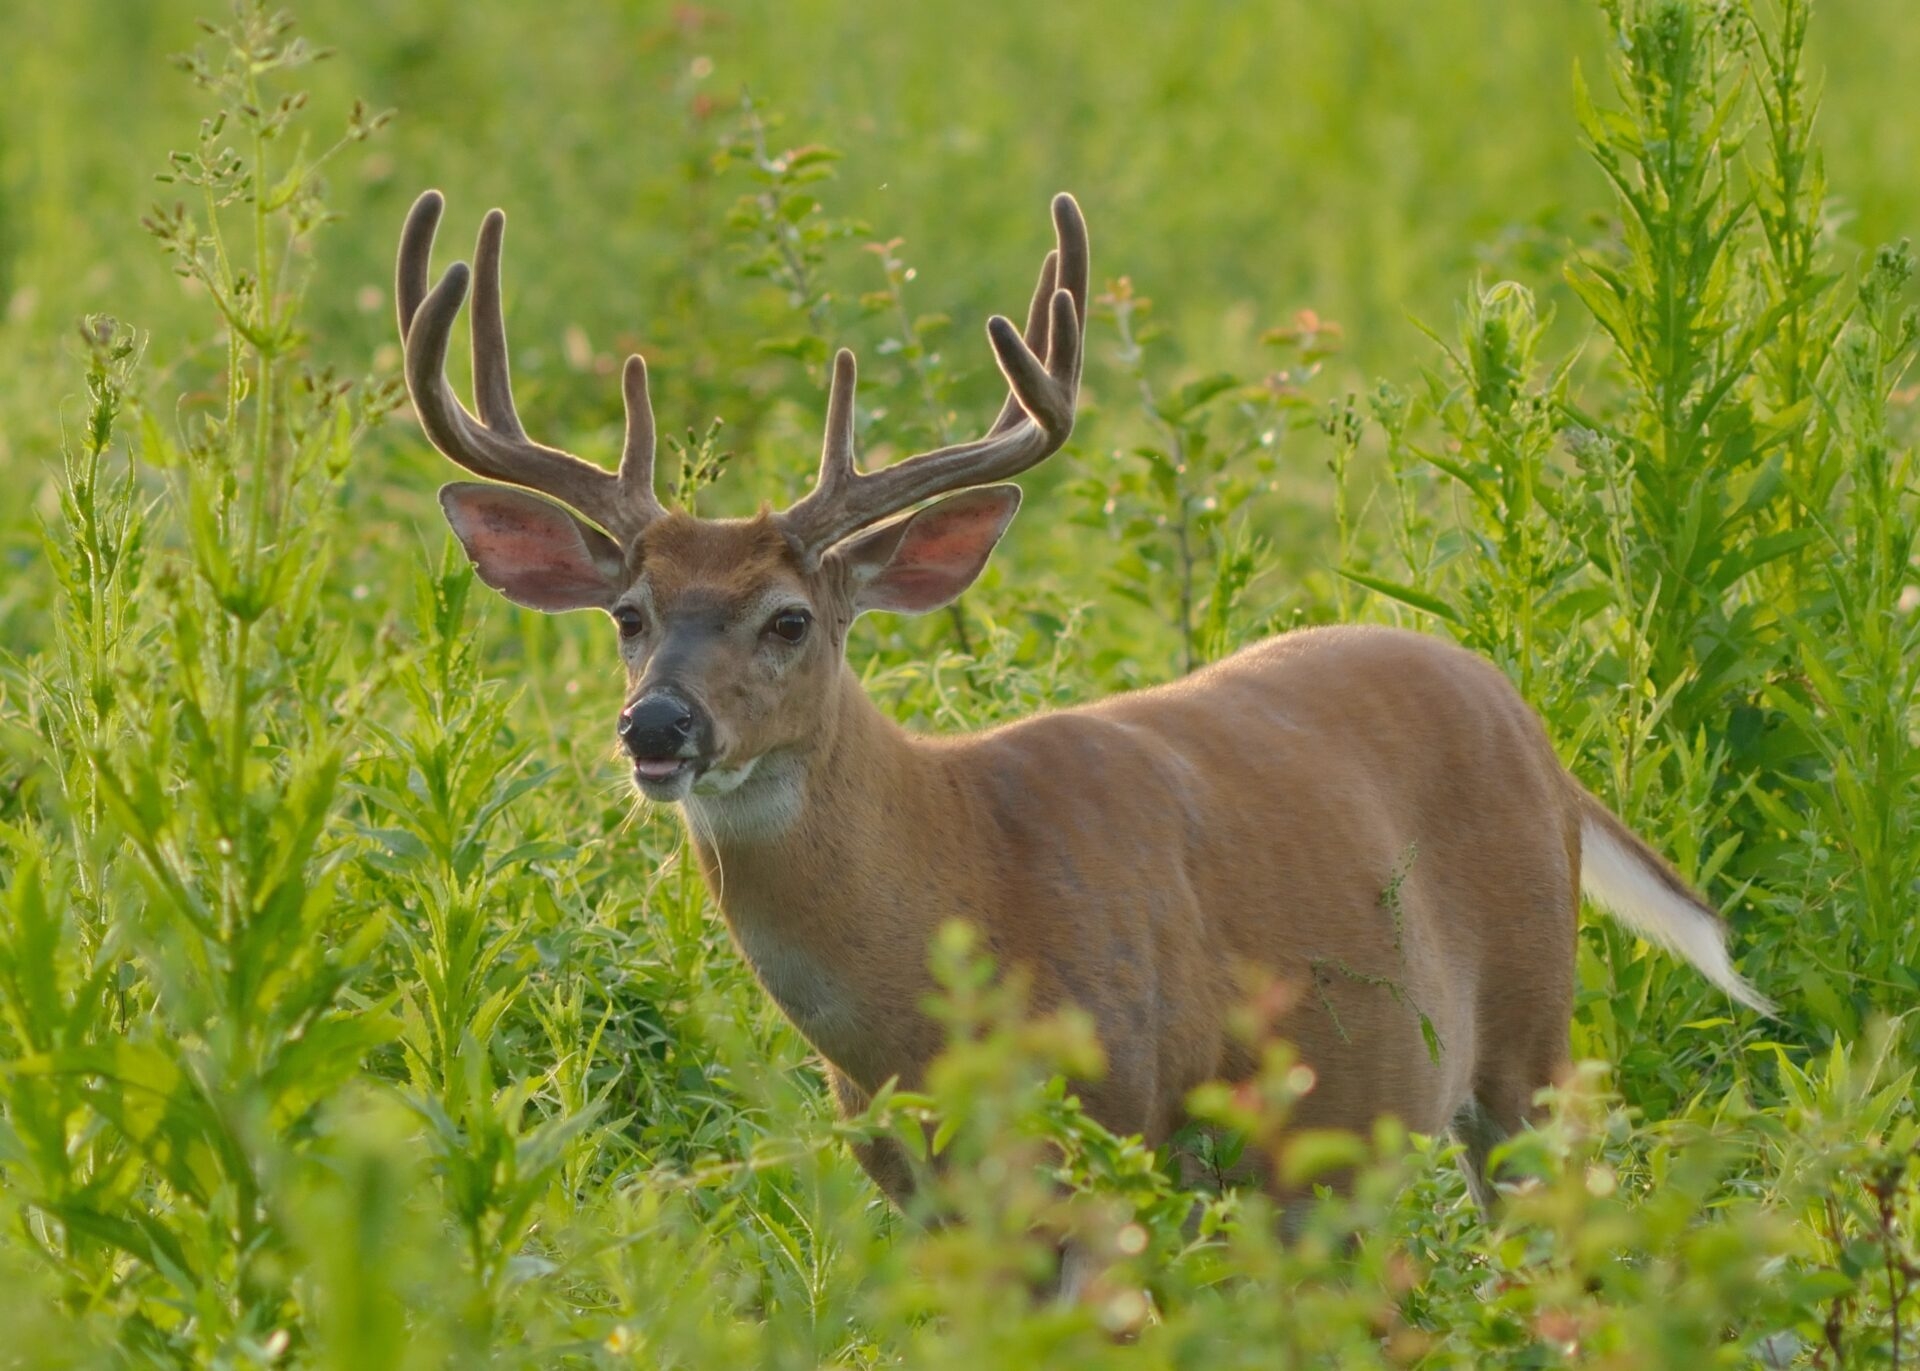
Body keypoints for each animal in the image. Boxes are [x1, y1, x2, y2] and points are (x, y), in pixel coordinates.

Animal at [393, 187, 1772, 1222]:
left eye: (789, 620)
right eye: (629, 615)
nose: (660, 727)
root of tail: (1529, 722)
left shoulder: (1111, 1121)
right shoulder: (910, 1179)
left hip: (1531, 1037)